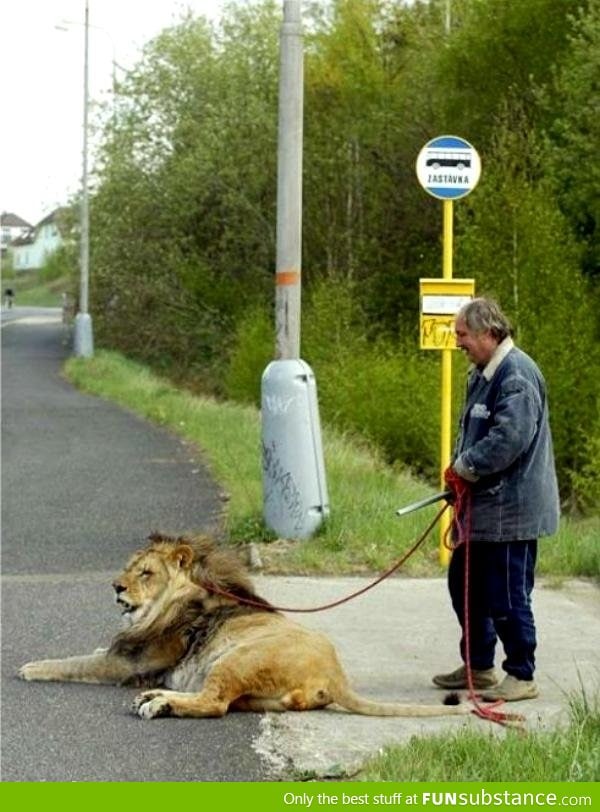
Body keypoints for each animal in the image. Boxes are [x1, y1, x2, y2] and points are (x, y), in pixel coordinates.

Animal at [17, 536, 468, 720]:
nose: (116, 586)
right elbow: (92, 652)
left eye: (145, 573)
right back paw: (156, 698)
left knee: (214, 704)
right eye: (129, 568)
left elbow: (71, 662)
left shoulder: (129, 664)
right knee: (219, 700)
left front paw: (29, 667)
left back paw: (158, 705)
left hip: (236, 658)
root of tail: (335, 675)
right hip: (256, 693)